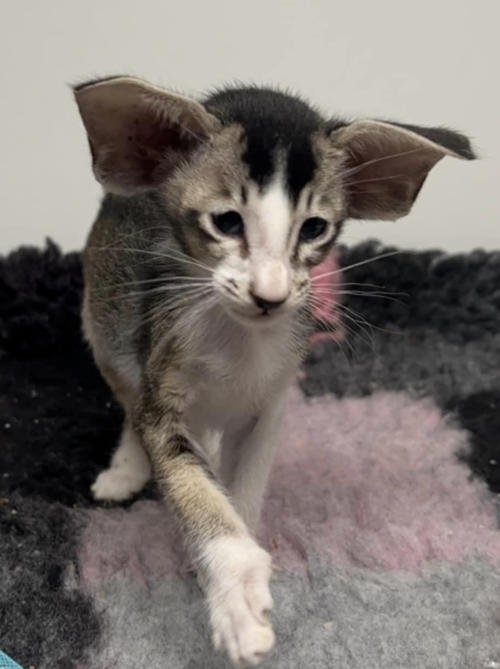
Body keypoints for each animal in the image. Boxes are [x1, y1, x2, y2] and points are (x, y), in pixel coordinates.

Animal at [74, 76, 475, 666]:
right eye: (227, 222)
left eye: (313, 229)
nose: (271, 295)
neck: (241, 341)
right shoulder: (160, 375)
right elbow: (187, 476)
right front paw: (234, 587)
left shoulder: (274, 398)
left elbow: (244, 486)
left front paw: (234, 561)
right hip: (103, 318)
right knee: (127, 394)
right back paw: (126, 466)